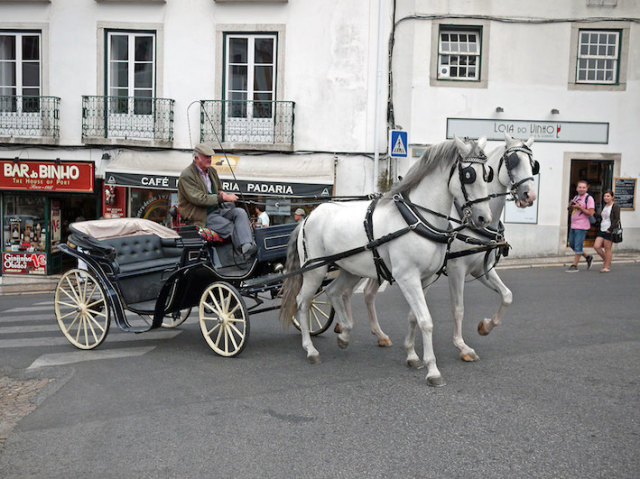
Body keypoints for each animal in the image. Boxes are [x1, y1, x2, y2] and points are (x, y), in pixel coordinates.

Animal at [280, 136, 496, 386]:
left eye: (487, 174)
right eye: (468, 175)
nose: (484, 218)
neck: (417, 219)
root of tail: (308, 217)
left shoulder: (425, 279)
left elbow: (413, 317)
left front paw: (412, 355)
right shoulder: (407, 277)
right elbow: (426, 320)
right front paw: (432, 370)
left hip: (350, 269)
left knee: (333, 291)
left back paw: (344, 333)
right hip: (315, 270)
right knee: (303, 302)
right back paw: (310, 349)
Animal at [358, 131, 536, 360]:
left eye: (533, 164)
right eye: (512, 161)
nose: (529, 195)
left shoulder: (481, 268)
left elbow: (507, 296)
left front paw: (486, 326)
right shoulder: (456, 269)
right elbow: (458, 308)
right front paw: (462, 346)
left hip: (379, 264)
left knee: (368, 292)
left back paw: (378, 334)